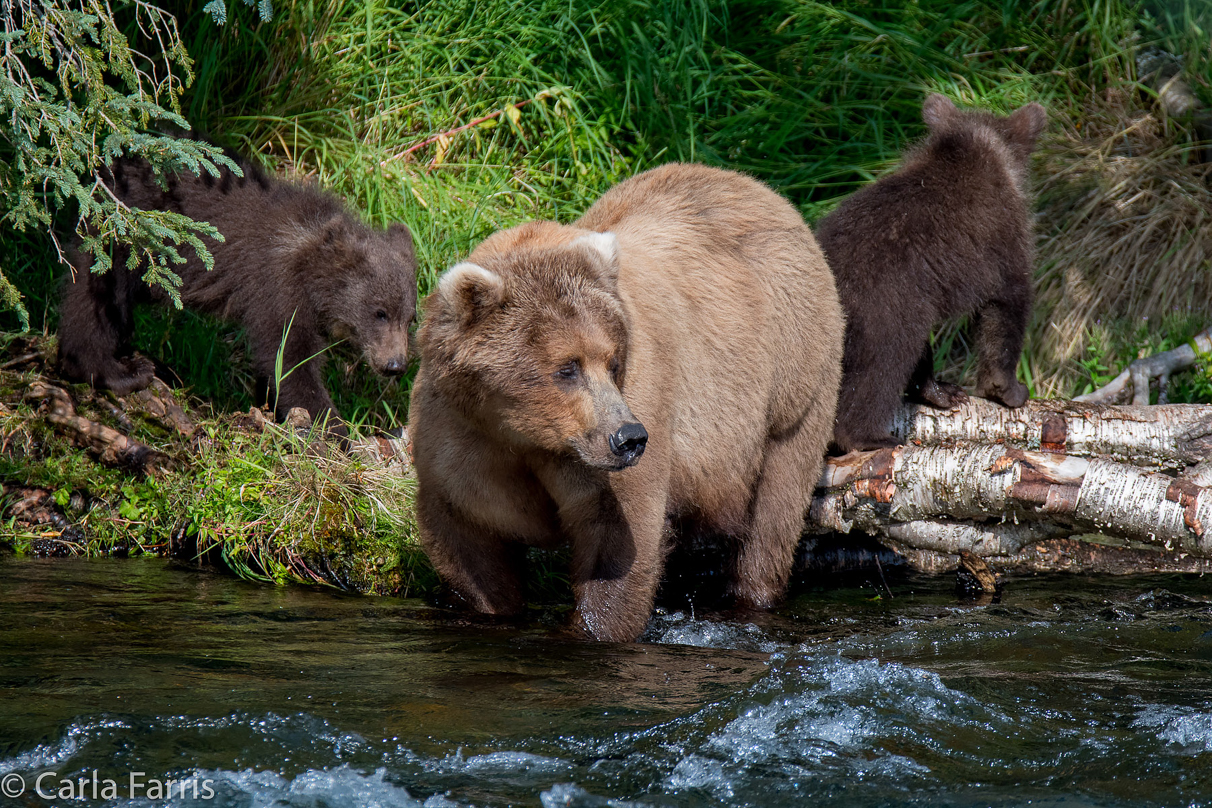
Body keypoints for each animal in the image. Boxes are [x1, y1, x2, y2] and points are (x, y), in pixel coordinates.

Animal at [409, 162, 843, 644]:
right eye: (568, 367)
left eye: (612, 361)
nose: (628, 438)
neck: (524, 434)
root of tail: (761, 189)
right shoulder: (460, 438)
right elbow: (468, 542)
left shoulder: (635, 408)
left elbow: (620, 537)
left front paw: (593, 629)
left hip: (793, 381)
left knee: (773, 511)